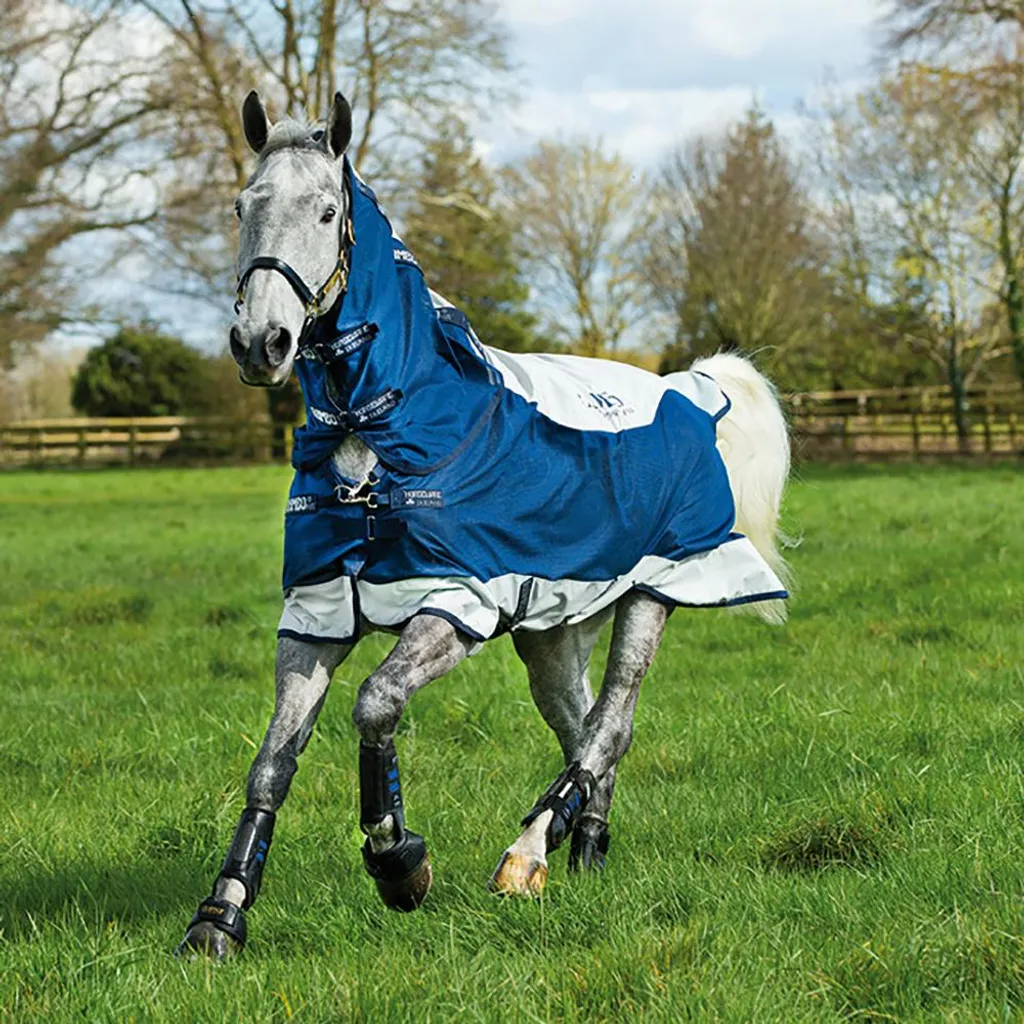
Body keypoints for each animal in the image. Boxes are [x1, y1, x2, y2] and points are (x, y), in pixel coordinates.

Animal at [177, 91, 791, 960]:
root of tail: (690, 390)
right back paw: (584, 850)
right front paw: (220, 916)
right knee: (587, 727)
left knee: (611, 724)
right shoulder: (317, 613)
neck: (383, 433)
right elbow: (271, 762)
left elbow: (376, 703)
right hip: (554, 629)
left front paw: (400, 865)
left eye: (326, 211)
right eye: (241, 207)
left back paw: (526, 854)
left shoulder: (456, 602)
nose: (260, 343)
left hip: (656, 593)